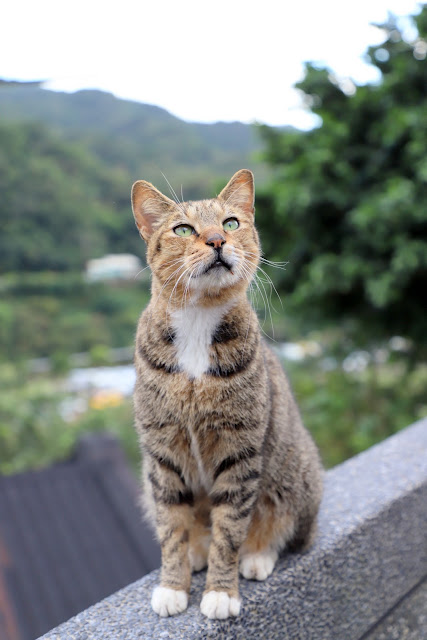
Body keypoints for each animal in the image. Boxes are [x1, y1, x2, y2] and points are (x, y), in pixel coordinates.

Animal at [132, 169, 322, 620]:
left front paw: (221, 592)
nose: (218, 240)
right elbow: (171, 528)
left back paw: (257, 556)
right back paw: (196, 554)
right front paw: (174, 584)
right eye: (184, 229)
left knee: (284, 532)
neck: (198, 323)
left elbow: (230, 529)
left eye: (231, 223)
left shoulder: (240, 451)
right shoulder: (162, 452)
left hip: (295, 481)